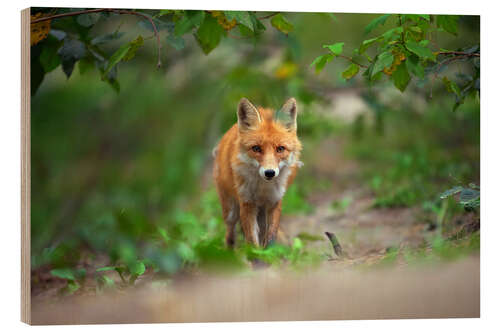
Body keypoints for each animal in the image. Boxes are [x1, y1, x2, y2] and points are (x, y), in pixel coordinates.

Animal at [213, 96, 302, 246]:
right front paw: (254, 252)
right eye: (256, 148)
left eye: (280, 149)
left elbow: (271, 237)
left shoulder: (274, 201)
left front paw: (269, 251)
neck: (263, 189)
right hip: (231, 211)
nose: (269, 172)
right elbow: (251, 240)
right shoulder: (247, 203)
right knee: (230, 234)